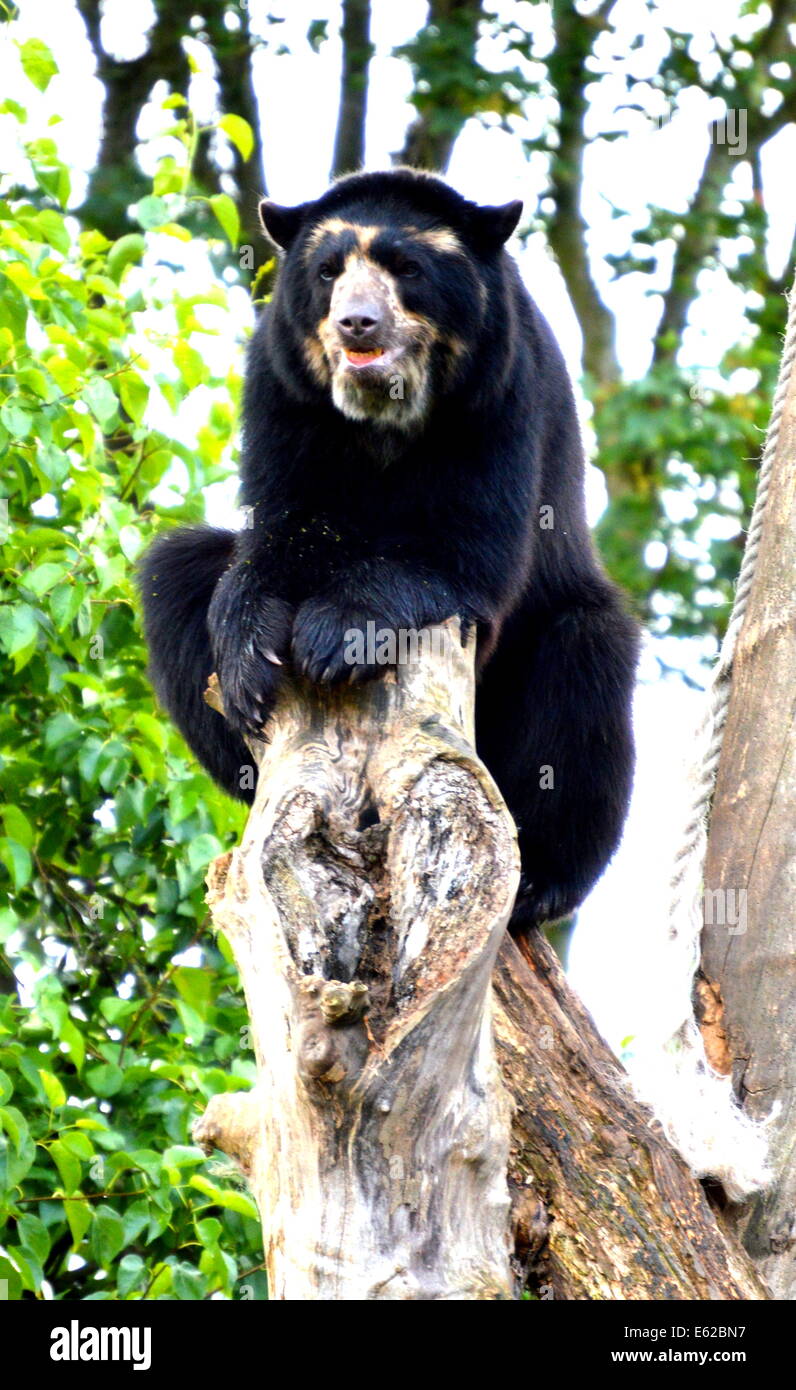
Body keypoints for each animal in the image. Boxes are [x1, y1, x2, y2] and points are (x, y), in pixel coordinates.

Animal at [139, 165, 639, 934]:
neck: (383, 416)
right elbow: (279, 529)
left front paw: (333, 636)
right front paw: (252, 664)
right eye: (328, 270)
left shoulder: (502, 394)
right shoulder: (282, 388)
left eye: (407, 268)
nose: (357, 323)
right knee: (177, 569)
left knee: (586, 666)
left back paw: (540, 884)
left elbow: (465, 550)